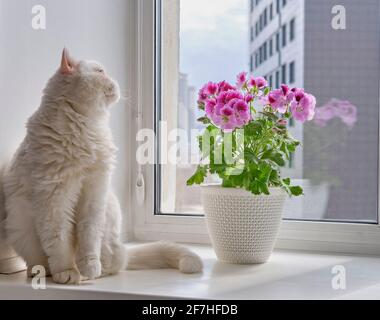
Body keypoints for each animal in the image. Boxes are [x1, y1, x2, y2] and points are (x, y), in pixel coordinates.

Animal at [0, 48, 202, 284]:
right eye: (100, 71)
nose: (114, 80)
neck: (86, 126)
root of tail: (124, 249)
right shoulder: (54, 199)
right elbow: (60, 241)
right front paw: (67, 272)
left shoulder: (95, 193)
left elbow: (89, 236)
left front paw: (88, 268)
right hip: (19, 224)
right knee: (41, 260)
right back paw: (45, 272)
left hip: (108, 214)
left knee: (113, 263)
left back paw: (91, 274)